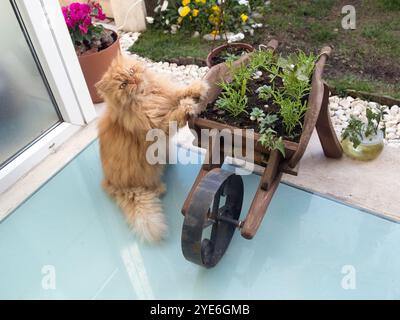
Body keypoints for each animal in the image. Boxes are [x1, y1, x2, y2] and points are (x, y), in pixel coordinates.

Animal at [95, 55, 208, 241]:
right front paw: (187, 107)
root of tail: (114, 185)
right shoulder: (159, 127)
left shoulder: (166, 95)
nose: (133, 80)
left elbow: (178, 92)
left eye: (131, 71)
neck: (148, 97)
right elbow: (175, 115)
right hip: (146, 174)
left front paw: (197, 88)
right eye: (123, 85)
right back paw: (160, 188)